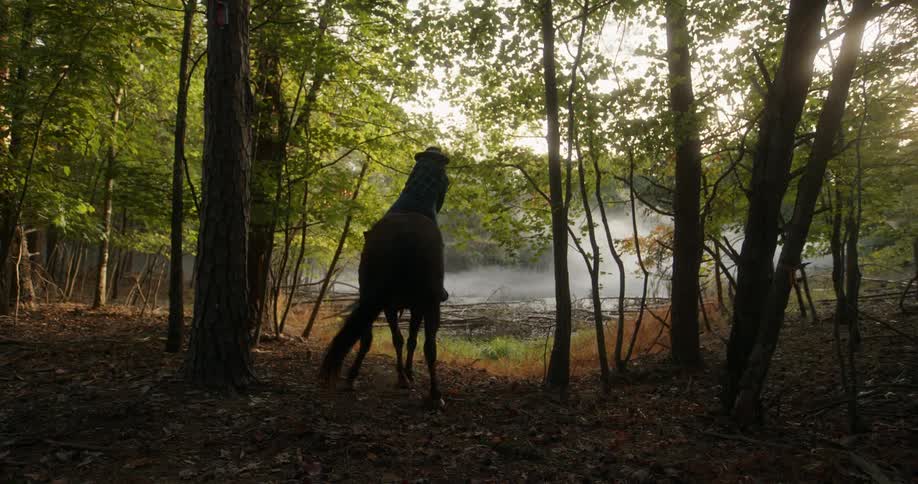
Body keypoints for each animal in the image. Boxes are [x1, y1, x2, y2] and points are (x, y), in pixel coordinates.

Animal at [319, 212, 444, 405]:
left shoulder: (405, 307)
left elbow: (408, 340)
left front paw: (407, 374)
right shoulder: (409, 306)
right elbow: (406, 340)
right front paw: (405, 376)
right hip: (423, 303)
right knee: (427, 345)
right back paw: (434, 394)